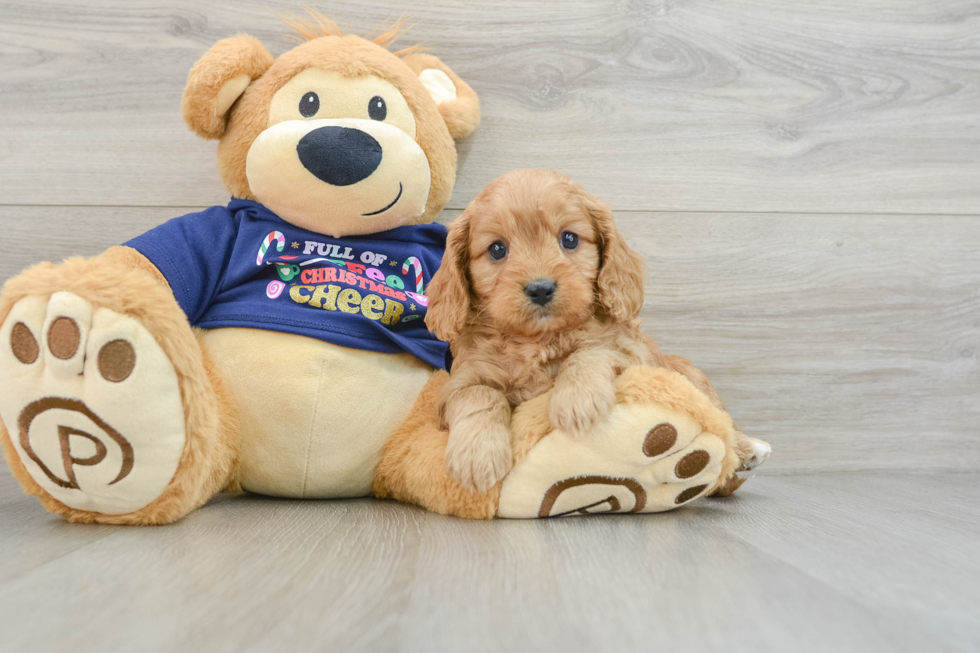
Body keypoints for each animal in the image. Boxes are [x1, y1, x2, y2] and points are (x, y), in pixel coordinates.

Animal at [424, 171, 760, 492]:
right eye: (496, 249)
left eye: (570, 239)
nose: (540, 289)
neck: (539, 340)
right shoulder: (459, 382)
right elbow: (479, 394)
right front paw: (476, 456)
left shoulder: (630, 352)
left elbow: (593, 349)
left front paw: (576, 400)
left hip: (692, 378)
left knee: (721, 420)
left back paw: (746, 451)